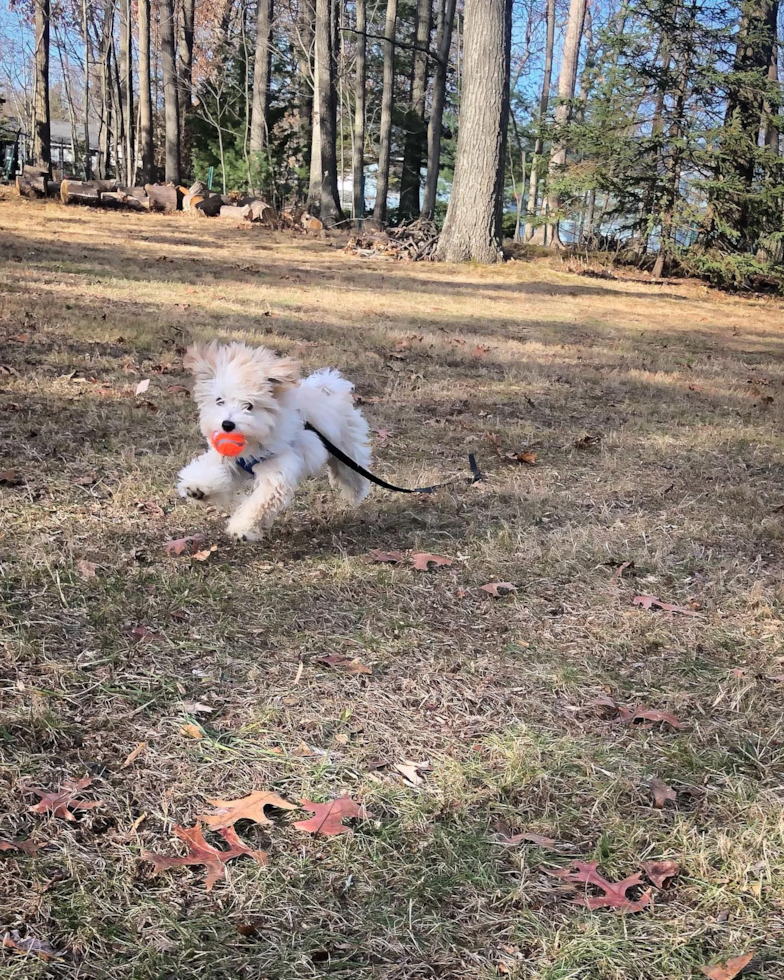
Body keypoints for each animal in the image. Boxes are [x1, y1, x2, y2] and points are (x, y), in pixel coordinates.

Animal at [177, 340, 370, 540]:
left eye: (249, 406)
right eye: (219, 400)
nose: (227, 425)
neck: (253, 440)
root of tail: (329, 387)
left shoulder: (277, 470)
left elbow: (260, 501)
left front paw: (242, 527)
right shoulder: (230, 457)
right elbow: (211, 466)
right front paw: (197, 487)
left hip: (346, 447)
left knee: (352, 471)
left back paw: (356, 492)